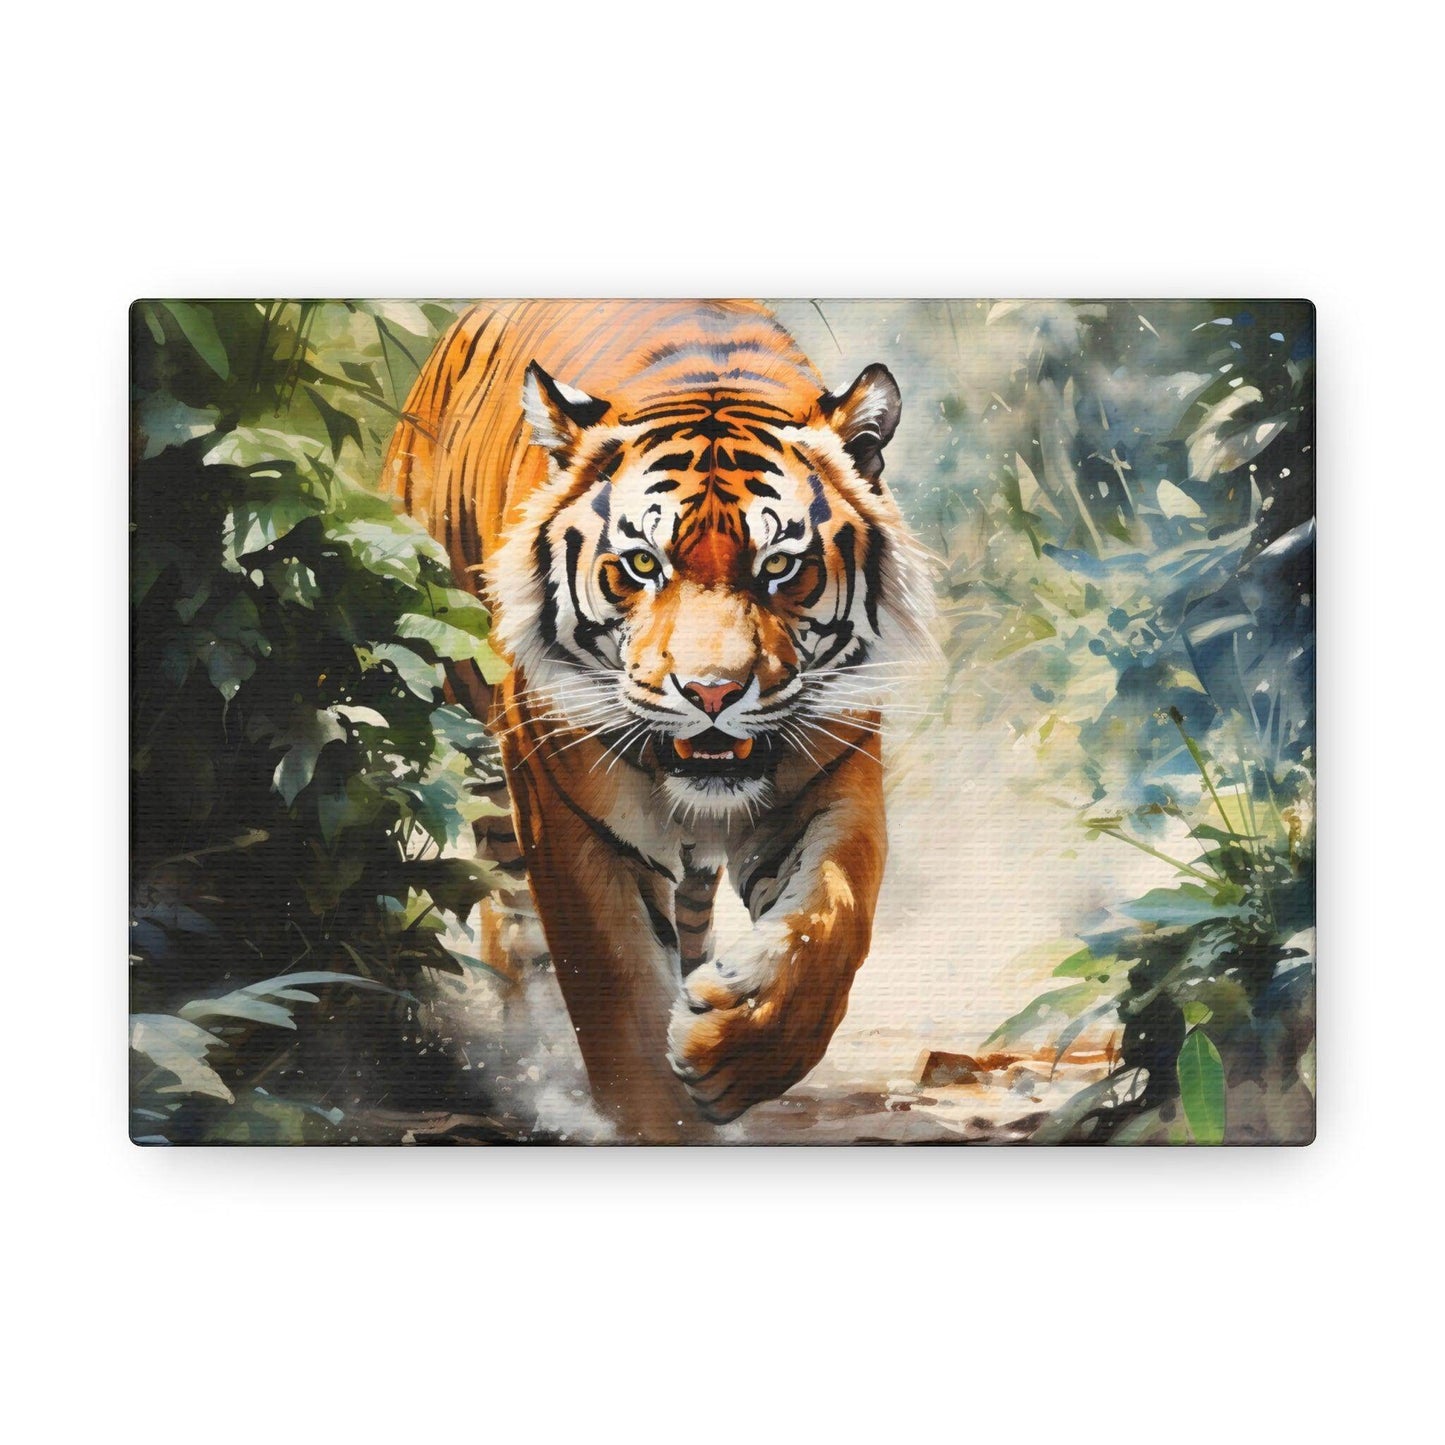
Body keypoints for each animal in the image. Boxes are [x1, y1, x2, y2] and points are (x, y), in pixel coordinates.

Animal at [384, 300, 933, 1140]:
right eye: (642, 564)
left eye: (780, 566)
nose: (711, 692)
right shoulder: (570, 814)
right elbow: (615, 996)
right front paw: (663, 1119)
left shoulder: (829, 776)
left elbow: (832, 921)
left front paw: (732, 1045)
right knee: (512, 923)